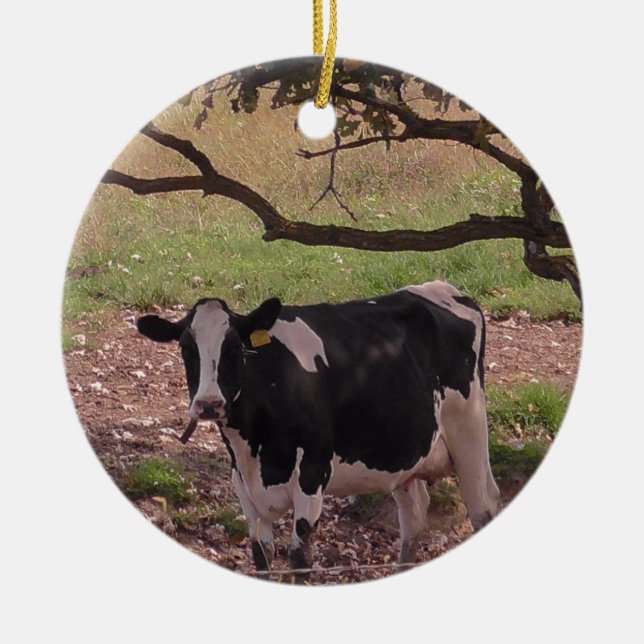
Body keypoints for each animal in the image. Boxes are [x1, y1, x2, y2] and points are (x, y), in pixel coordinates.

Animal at [137, 281, 500, 572]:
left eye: (235, 347)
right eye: (186, 347)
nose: (210, 404)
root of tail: (443, 289)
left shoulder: (312, 474)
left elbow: (301, 559)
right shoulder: (243, 483)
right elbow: (262, 557)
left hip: (469, 431)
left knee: (482, 508)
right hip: (404, 456)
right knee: (414, 520)